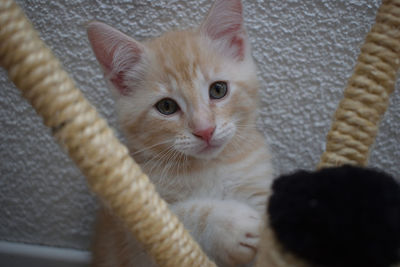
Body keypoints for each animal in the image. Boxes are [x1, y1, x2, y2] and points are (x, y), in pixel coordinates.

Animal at [87, 0, 274, 267]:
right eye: (166, 107)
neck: (209, 167)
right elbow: (174, 221)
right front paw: (229, 225)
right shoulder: (132, 228)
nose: (205, 130)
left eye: (218, 90)